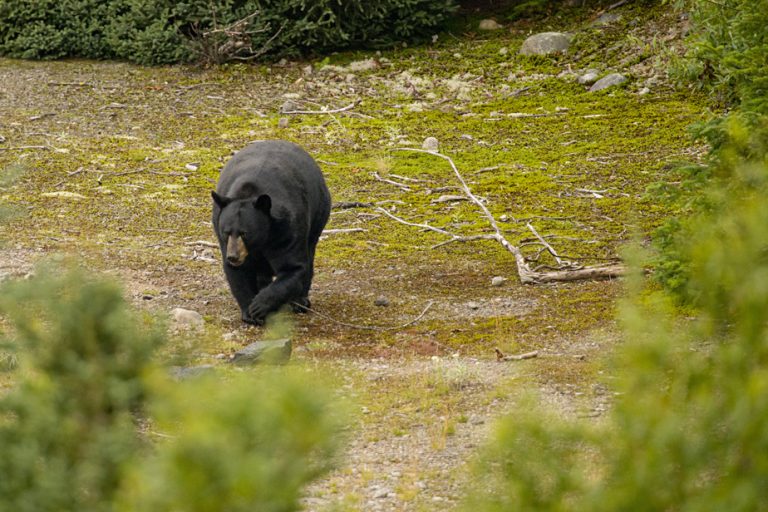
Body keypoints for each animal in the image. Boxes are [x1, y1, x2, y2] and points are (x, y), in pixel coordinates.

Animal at [212, 140, 332, 324]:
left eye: (244, 233)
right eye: (226, 232)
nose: (233, 256)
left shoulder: (287, 230)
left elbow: (293, 267)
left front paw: (259, 305)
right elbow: (238, 274)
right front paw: (249, 312)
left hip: (320, 210)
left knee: (310, 253)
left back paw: (300, 302)